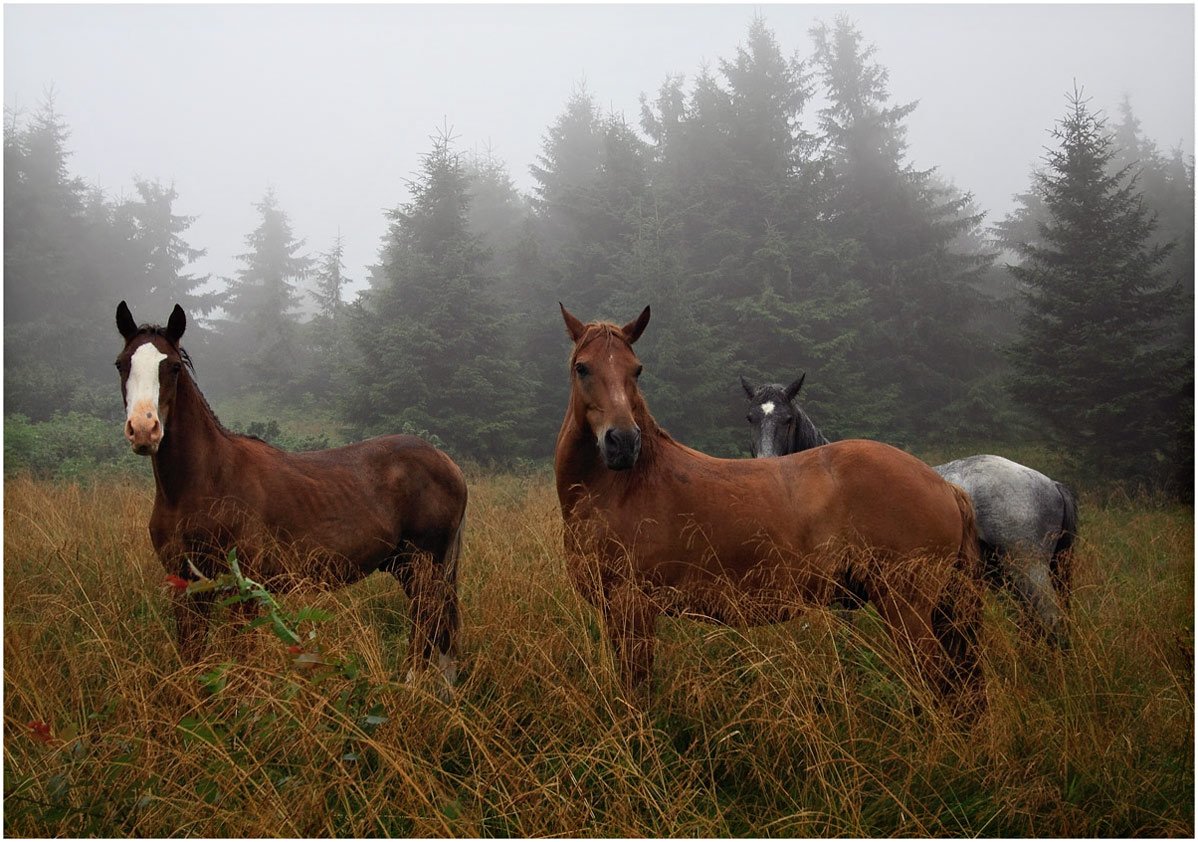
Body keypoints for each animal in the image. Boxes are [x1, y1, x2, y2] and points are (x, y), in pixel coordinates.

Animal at [113, 299, 467, 689]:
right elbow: (193, 657)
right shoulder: (187, 587)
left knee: (427, 625)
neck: (202, 484)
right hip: (406, 566)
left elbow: (241, 662)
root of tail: (448, 463)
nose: (144, 429)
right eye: (121, 364)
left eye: (173, 366)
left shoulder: (242, 589)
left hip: (424, 567)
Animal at [555, 306, 987, 709]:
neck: (627, 485)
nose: (624, 443)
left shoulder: (634, 611)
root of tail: (946, 486)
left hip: (907, 610)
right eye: (582, 367)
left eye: (637, 370)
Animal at [733, 376, 1082, 651]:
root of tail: (1051, 484)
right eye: (750, 417)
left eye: (787, 418)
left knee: (1052, 625)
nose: (764, 465)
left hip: (1027, 571)